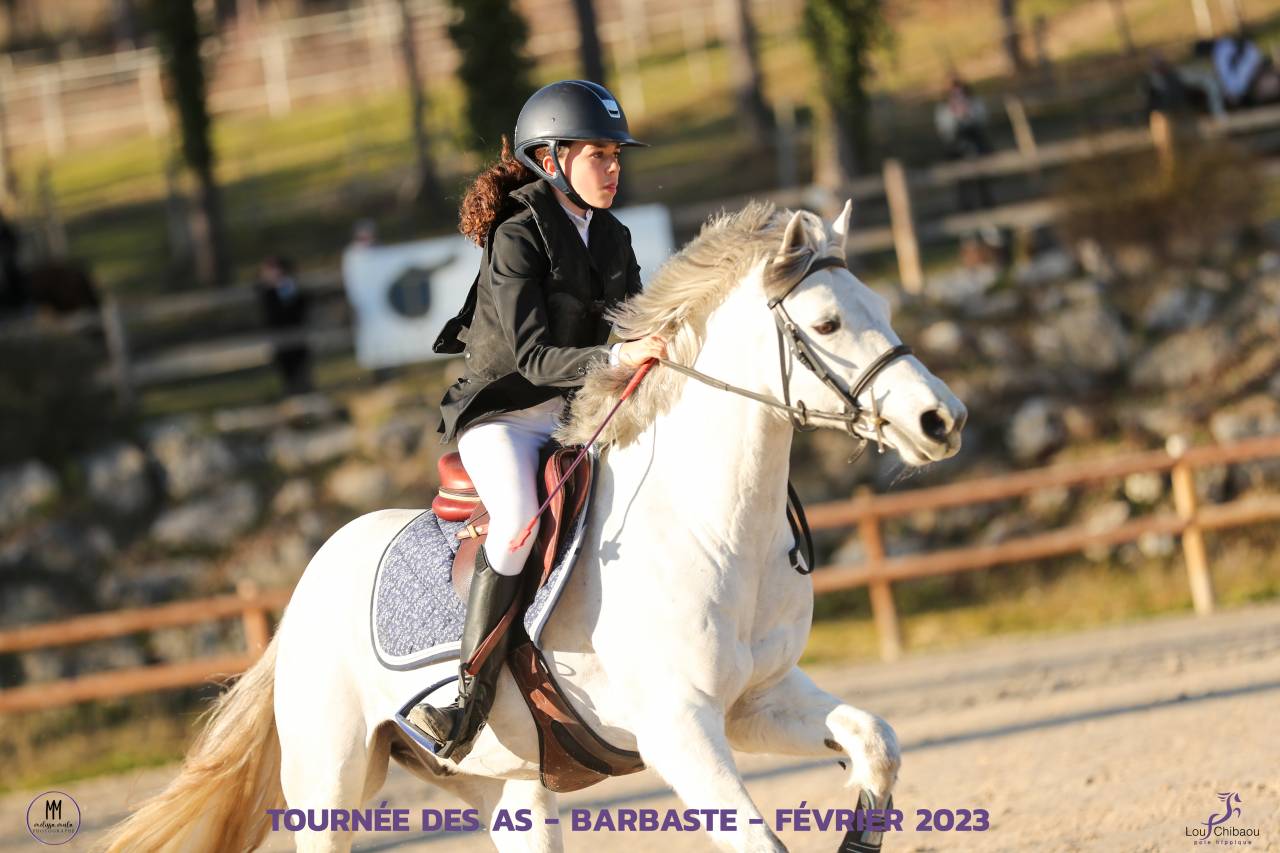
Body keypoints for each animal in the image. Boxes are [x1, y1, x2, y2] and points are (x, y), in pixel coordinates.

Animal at [102, 199, 966, 853]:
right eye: (825, 323)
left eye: (883, 309)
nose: (944, 419)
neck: (713, 528)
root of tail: (307, 584)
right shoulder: (679, 727)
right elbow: (760, 838)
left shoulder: (755, 700)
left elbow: (874, 739)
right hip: (329, 780)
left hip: (504, 780)